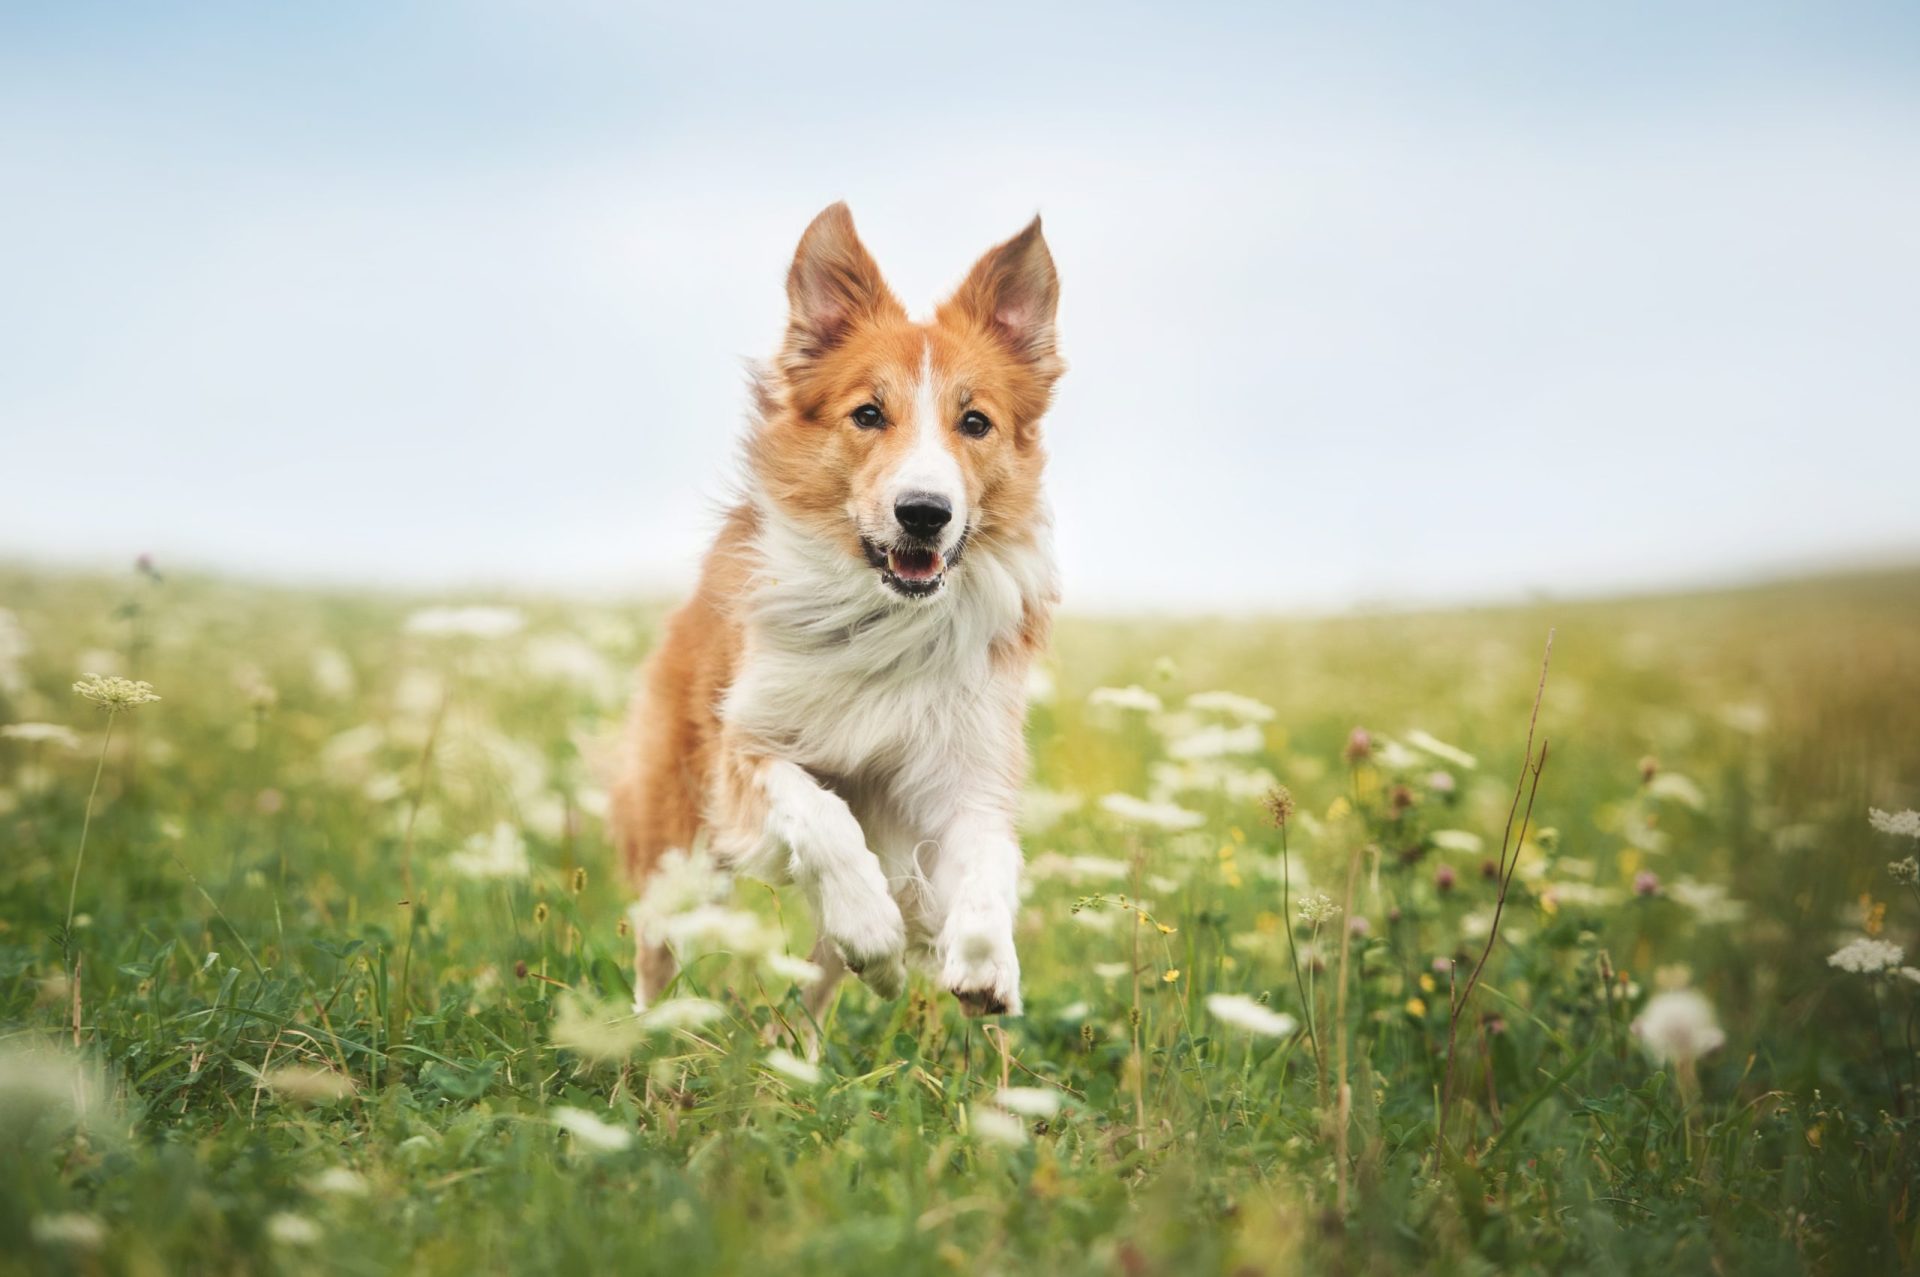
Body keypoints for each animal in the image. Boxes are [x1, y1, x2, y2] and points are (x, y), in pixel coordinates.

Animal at [610, 201, 1067, 1013]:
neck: (885, 618)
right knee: (656, 953)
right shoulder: (746, 749)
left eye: (975, 422)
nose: (925, 513)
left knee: (814, 992)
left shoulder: (962, 771)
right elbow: (821, 813)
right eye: (869, 413)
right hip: (677, 844)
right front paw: (873, 925)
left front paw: (987, 961)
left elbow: (991, 855)